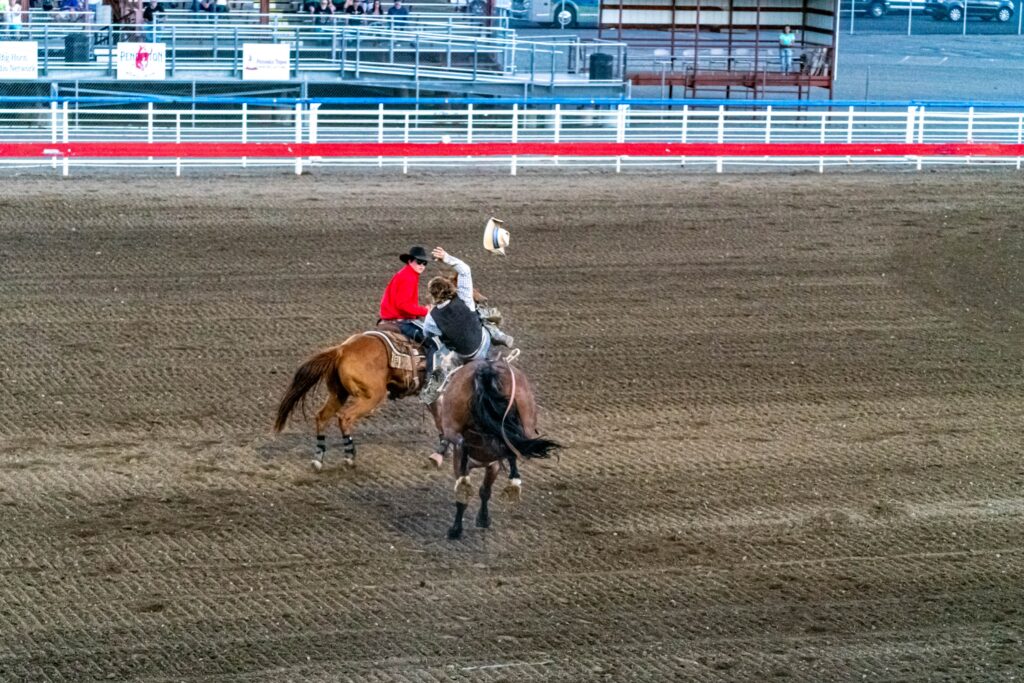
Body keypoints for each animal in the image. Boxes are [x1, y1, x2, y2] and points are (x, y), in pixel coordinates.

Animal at [432, 358, 561, 540]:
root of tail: (487, 368)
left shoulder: (484, 464)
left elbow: (478, 492)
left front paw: (463, 526)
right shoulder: (491, 464)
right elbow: (482, 491)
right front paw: (475, 521)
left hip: (452, 427)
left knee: (465, 442)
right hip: (525, 422)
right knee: (513, 443)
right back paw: (513, 481)